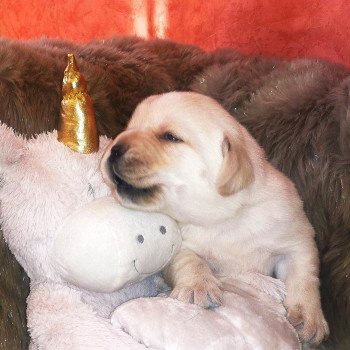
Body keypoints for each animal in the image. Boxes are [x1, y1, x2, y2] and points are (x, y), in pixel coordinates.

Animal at [100, 91, 328, 344]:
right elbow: (190, 260)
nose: (114, 149)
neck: (223, 218)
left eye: (170, 137)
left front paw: (308, 318)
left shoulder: (296, 237)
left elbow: (304, 276)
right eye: (128, 128)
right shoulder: (180, 246)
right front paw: (198, 287)